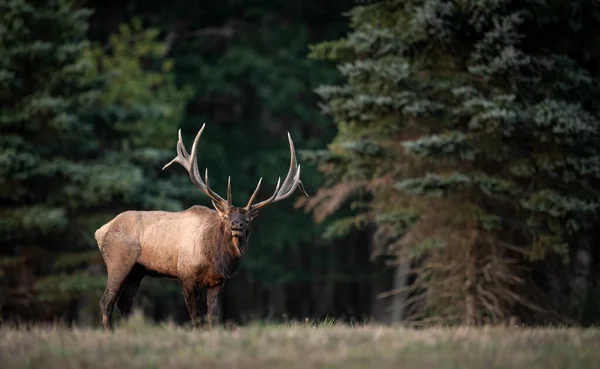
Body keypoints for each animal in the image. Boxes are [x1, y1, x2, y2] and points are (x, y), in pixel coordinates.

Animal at [96, 123, 310, 328]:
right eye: (226, 217)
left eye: (248, 220)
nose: (237, 223)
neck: (214, 258)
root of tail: (100, 231)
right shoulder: (186, 275)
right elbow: (194, 317)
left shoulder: (217, 282)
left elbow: (211, 317)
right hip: (118, 261)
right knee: (106, 302)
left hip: (137, 271)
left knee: (124, 304)